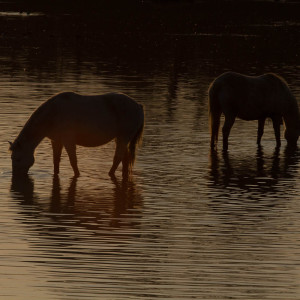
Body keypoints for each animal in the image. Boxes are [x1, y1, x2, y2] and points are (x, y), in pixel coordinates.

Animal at [8, 92, 145, 178]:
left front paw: (77, 175)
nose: (15, 176)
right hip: (121, 139)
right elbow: (56, 161)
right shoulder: (56, 141)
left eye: (17, 158)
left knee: (118, 158)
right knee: (125, 159)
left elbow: (73, 161)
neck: (54, 113)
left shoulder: (68, 141)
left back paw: (110, 174)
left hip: (123, 138)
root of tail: (138, 106)